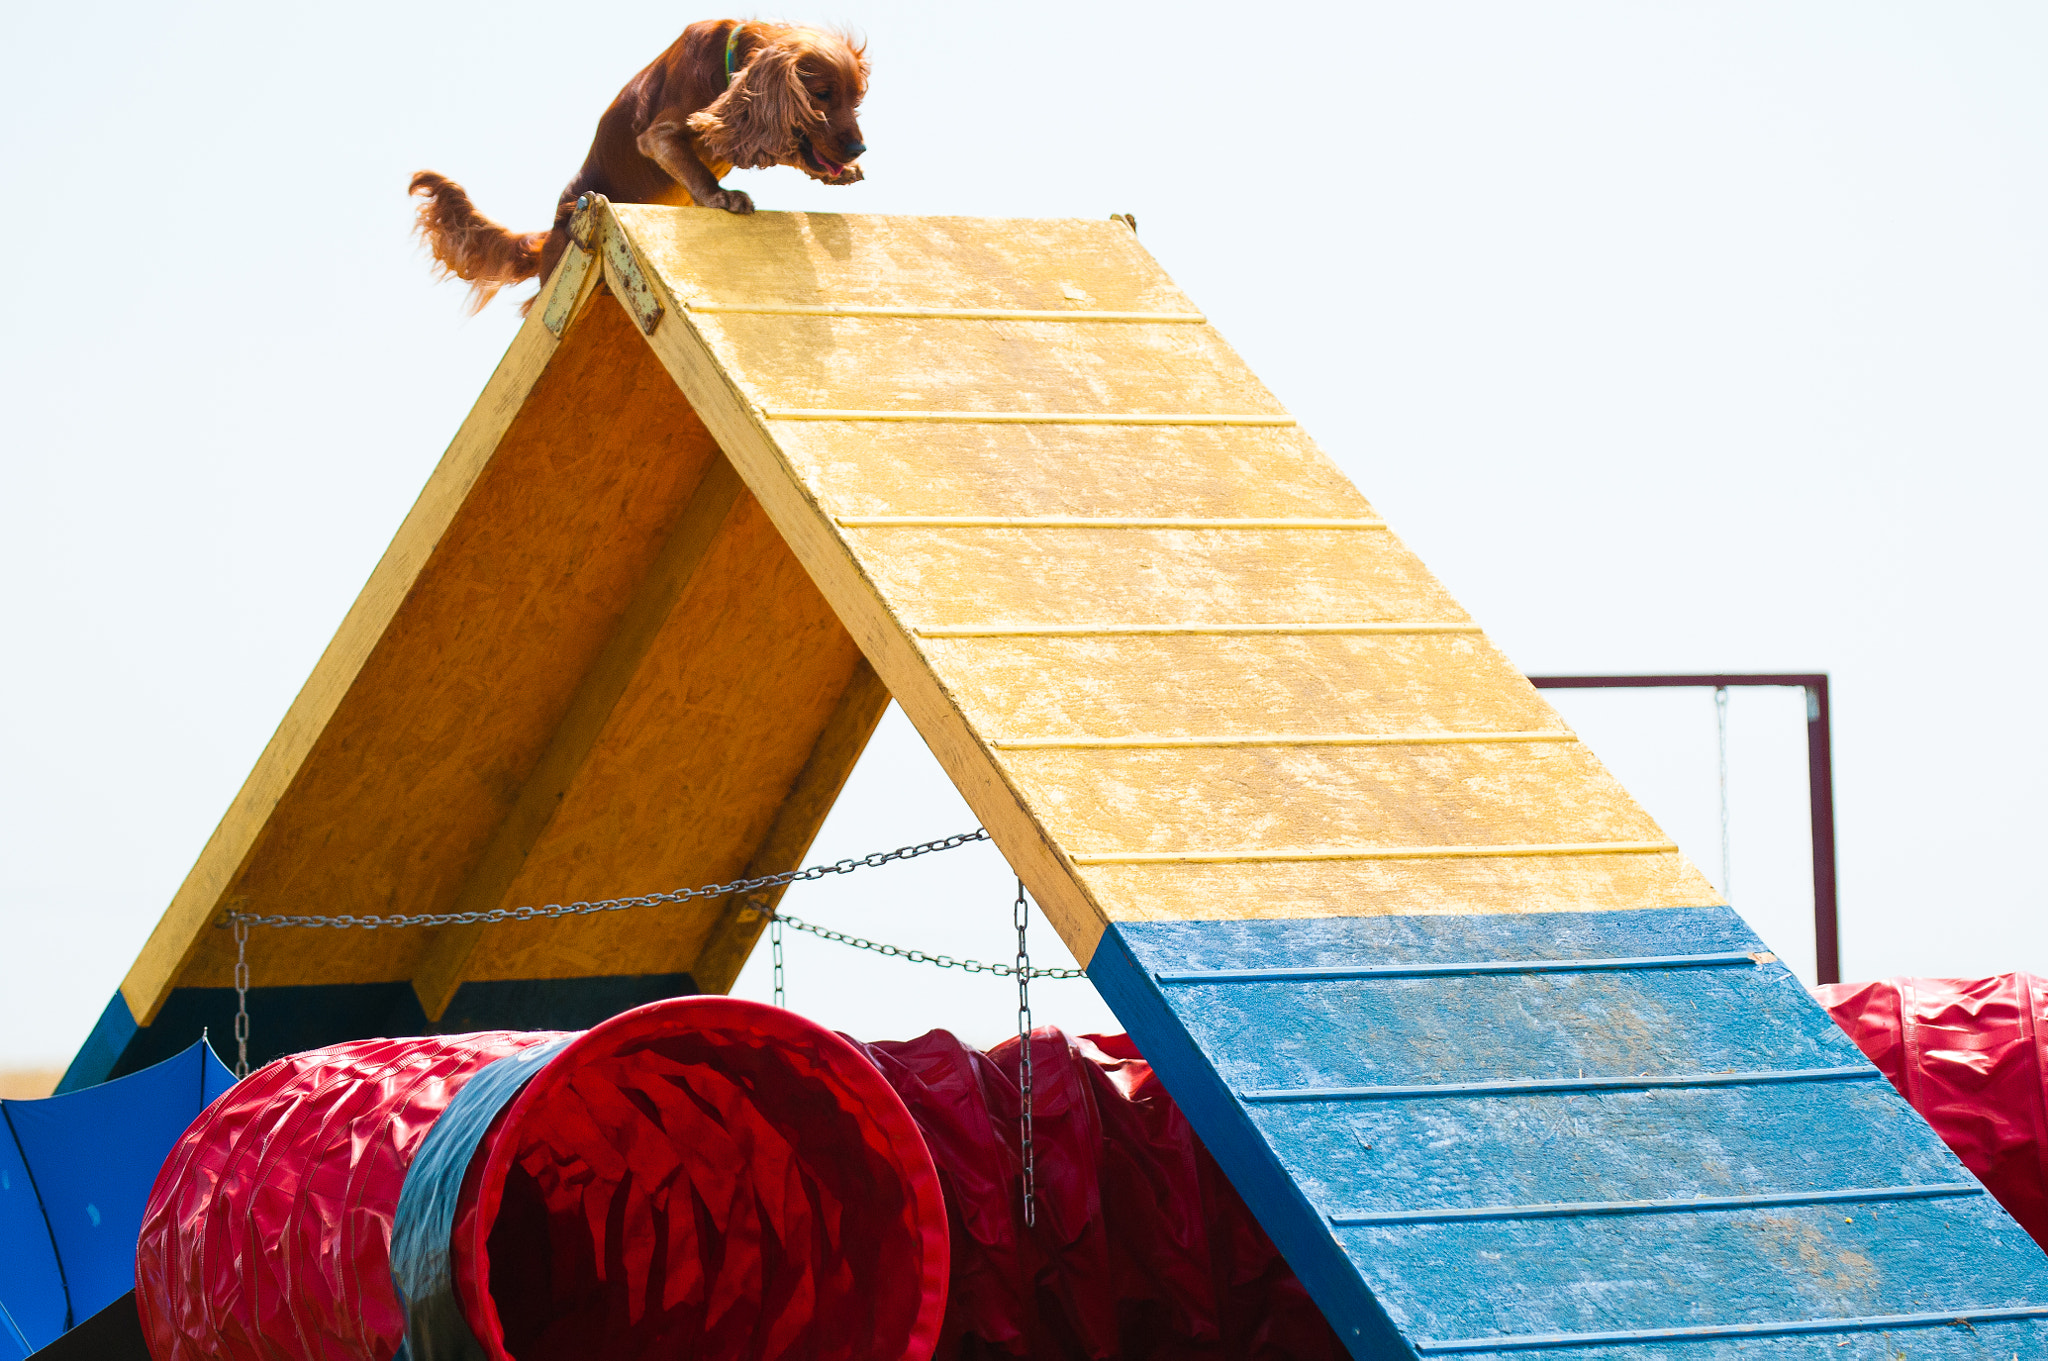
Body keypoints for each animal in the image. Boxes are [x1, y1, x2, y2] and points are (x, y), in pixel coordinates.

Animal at [411, 21, 868, 309]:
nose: (858, 148)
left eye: (856, 97)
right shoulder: (658, 135)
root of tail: (549, 236)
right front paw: (722, 197)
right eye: (822, 94)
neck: (727, 60)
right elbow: (696, 169)